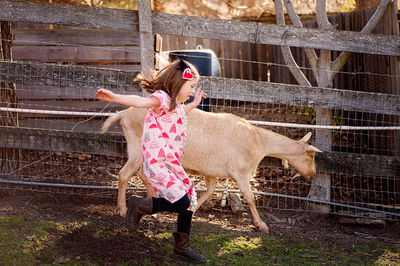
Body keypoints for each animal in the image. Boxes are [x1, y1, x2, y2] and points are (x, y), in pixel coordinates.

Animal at [102, 107, 322, 233]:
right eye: (311, 156)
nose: (313, 174)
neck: (260, 141)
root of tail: (124, 113)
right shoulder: (241, 172)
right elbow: (249, 198)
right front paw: (261, 225)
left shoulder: (212, 172)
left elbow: (209, 191)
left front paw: (193, 210)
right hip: (138, 148)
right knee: (124, 174)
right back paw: (123, 209)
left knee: (143, 174)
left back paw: (153, 200)